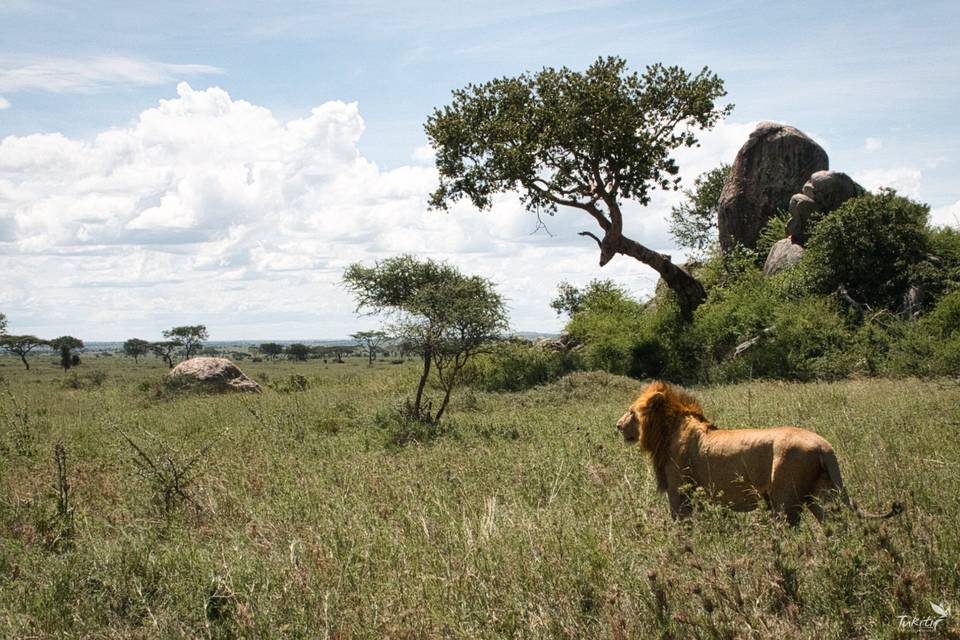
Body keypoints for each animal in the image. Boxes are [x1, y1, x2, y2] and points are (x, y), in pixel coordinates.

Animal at [620, 380, 904, 524]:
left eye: (631, 412)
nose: (617, 425)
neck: (667, 428)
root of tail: (825, 446)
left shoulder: (679, 492)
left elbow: (681, 524)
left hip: (784, 498)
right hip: (816, 494)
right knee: (835, 523)